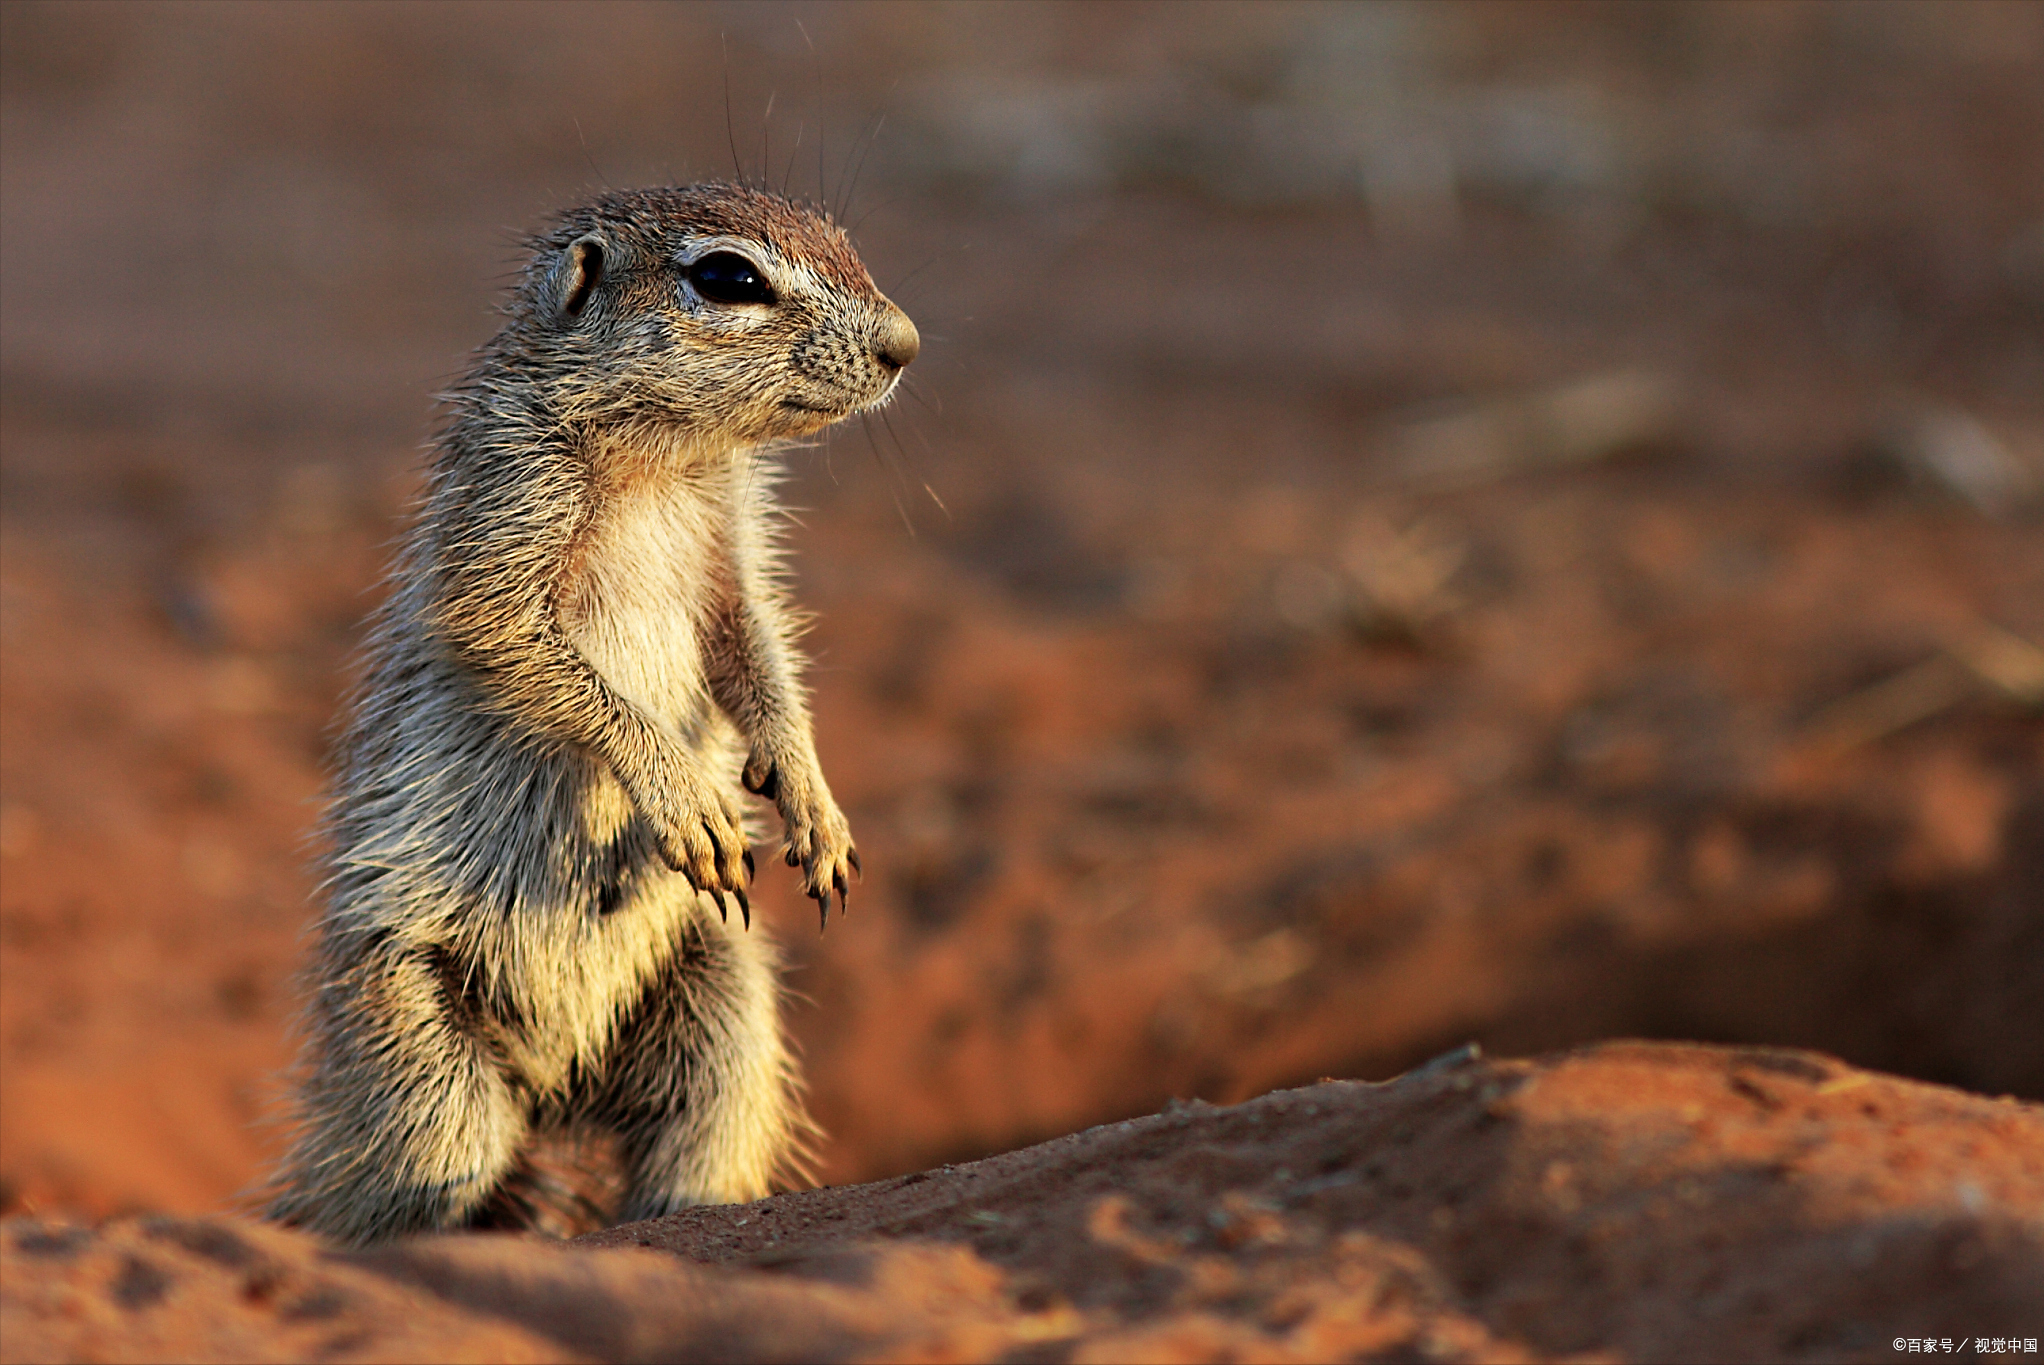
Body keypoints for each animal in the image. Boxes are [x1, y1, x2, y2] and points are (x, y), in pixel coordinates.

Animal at [265, 183, 919, 1250]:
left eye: (844, 239)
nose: (906, 344)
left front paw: (811, 802)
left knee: (703, 1127)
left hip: (721, 996)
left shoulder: (733, 548)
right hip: (414, 1041)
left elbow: (759, 647)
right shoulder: (507, 498)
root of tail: (554, 1085)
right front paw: (682, 796)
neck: (664, 460)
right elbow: (526, 648)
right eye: (729, 277)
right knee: (406, 1181)